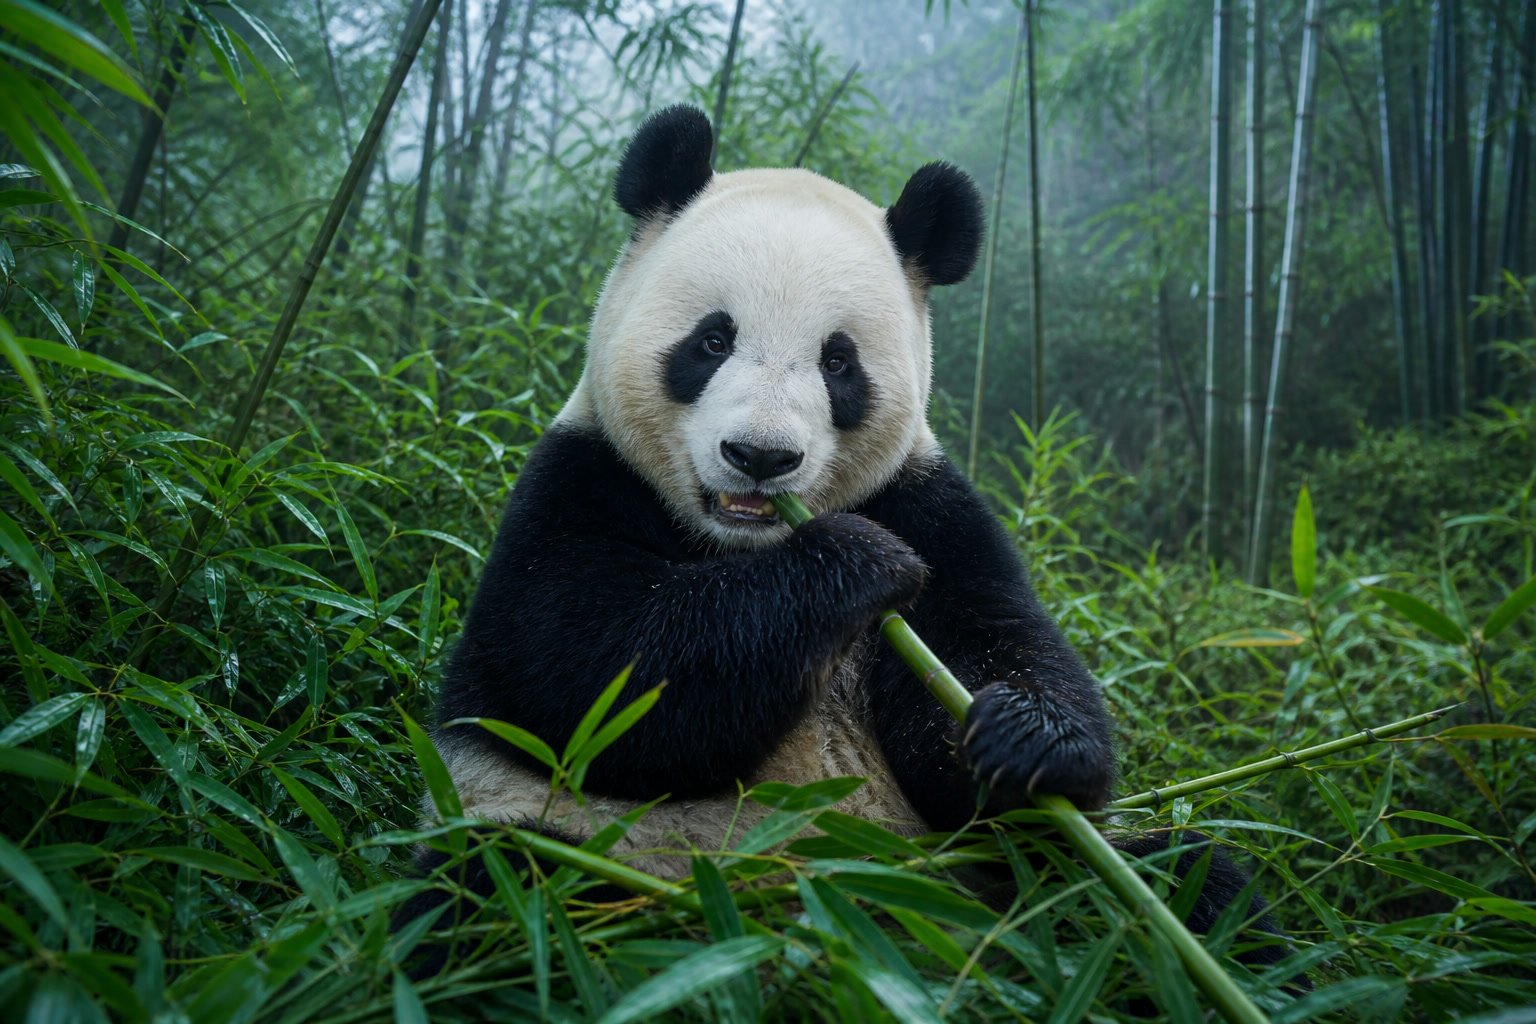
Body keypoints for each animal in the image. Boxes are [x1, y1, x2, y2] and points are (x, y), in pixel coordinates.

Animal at [412, 104, 1285, 966]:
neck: (740, 545)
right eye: (712, 340)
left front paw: (1029, 740)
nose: (761, 456)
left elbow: (994, 654)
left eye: (839, 363)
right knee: (492, 903)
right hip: (581, 845)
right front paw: (856, 562)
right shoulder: (579, 481)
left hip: (989, 878)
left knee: (1173, 884)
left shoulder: (927, 501)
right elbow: (589, 675)